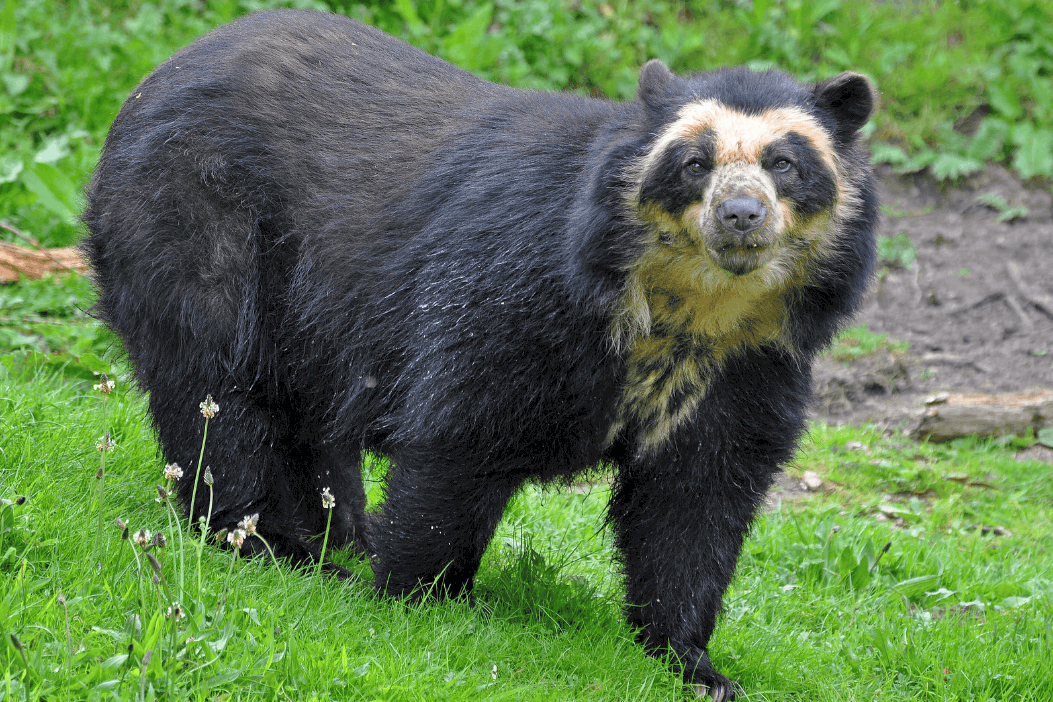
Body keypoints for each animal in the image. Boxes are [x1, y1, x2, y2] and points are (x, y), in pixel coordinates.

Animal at [82, 9, 876, 698]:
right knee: (217, 388)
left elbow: (696, 499)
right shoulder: (516, 292)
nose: (740, 215)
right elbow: (459, 437)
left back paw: (338, 534)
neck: (688, 308)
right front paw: (423, 598)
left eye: (784, 162)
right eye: (693, 162)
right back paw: (274, 544)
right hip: (198, 219)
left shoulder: (751, 364)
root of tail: (154, 77)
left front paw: (694, 664)